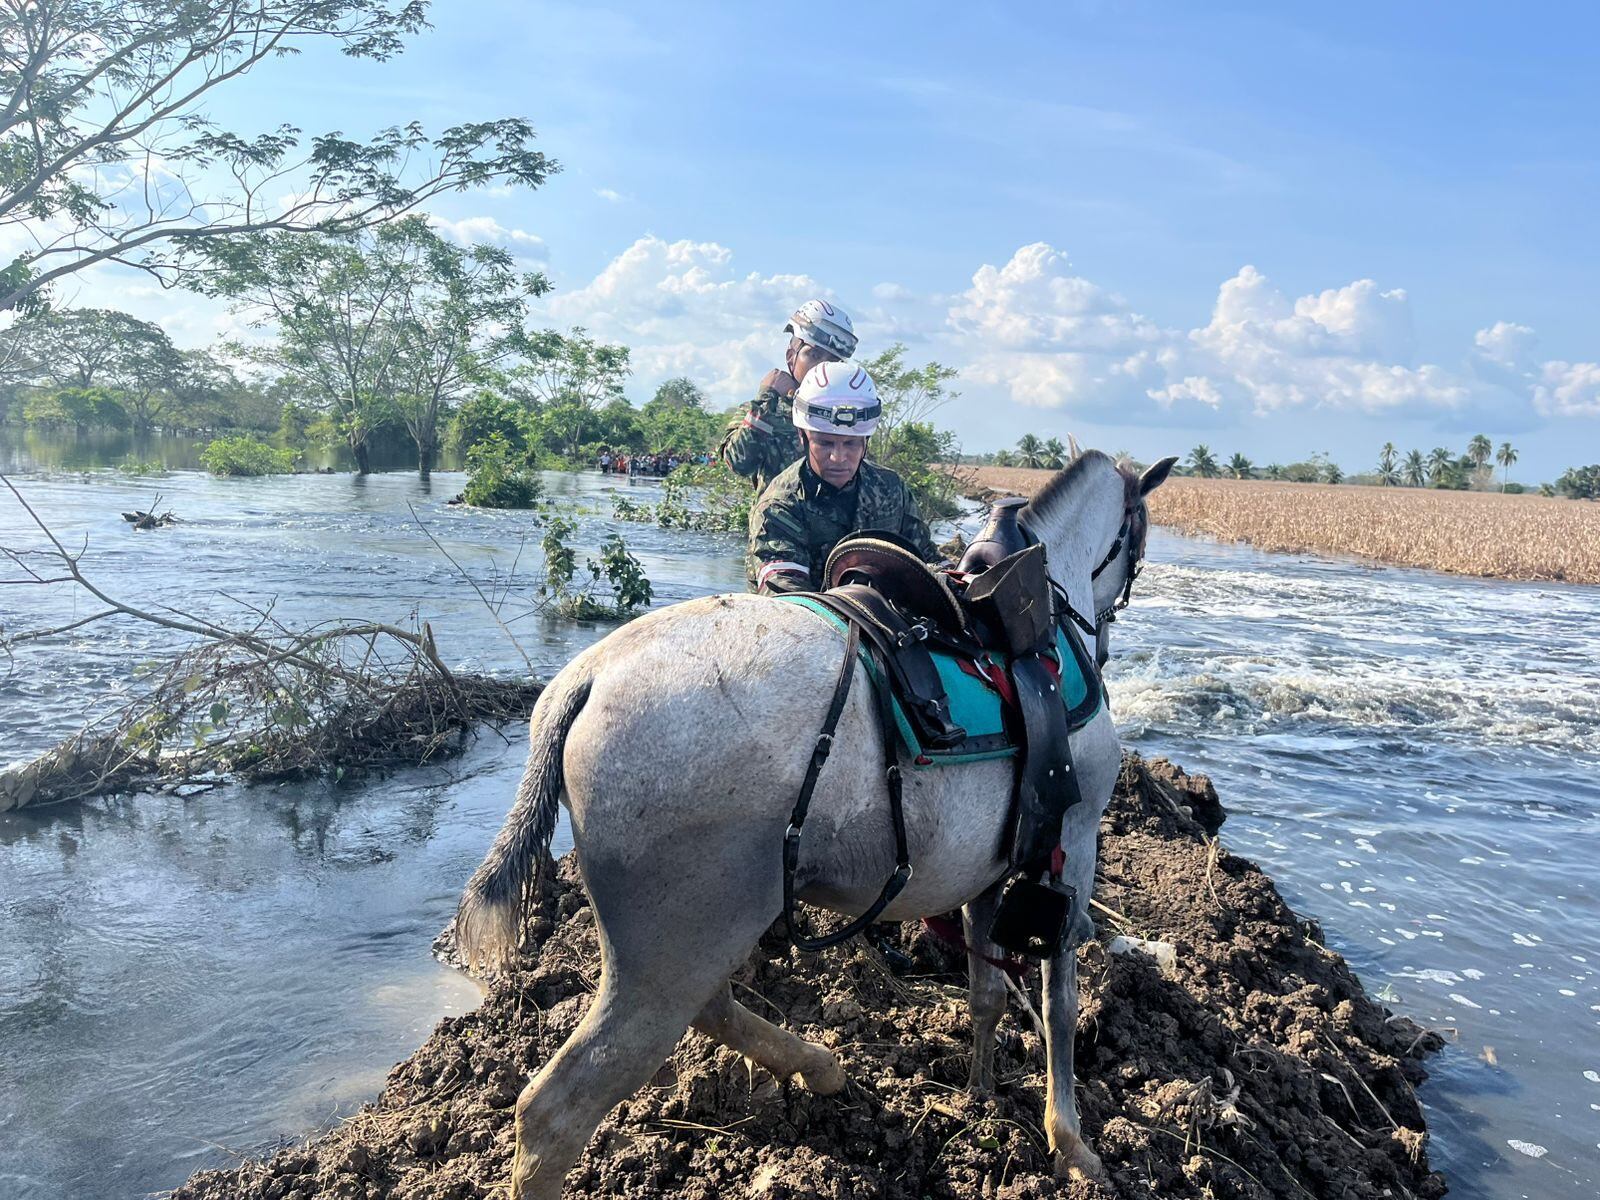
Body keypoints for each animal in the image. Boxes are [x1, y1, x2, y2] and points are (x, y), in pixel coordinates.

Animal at [456, 449, 1178, 1199]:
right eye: (1137, 535)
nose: (1107, 629)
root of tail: (590, 676)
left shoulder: (990, 870)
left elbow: (987, 996)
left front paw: (982, 1090)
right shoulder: (1073, 842)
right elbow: (1060, 1003)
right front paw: (1071, 1140)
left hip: (689, 938)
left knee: (711, 1008)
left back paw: (817, 1065)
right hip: (674, 952)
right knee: (556, 1112)